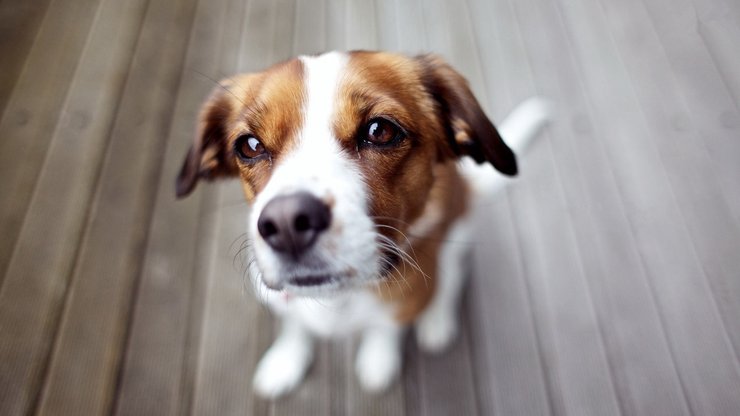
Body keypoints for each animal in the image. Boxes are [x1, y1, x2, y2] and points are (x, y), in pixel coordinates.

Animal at [175, 51, 548, 396]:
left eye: (380, 131)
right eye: (249, 146)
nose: (287, 223)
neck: (338, 300)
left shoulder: (404, 302)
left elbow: (385, 329)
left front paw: (378, 357)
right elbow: (295, 326)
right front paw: (286, 359)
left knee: (453, 278)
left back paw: (437, 318)